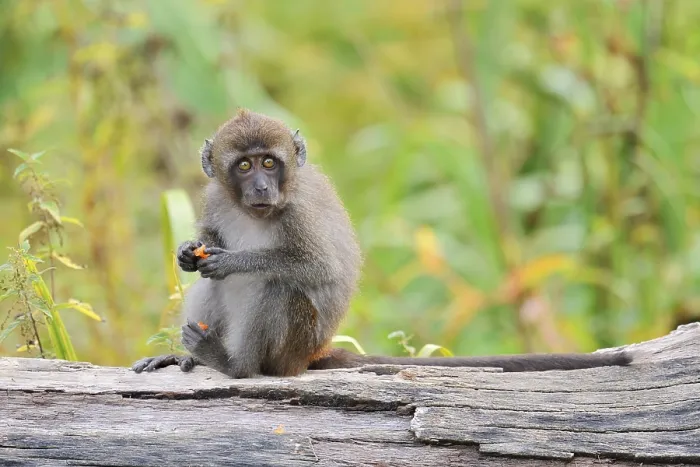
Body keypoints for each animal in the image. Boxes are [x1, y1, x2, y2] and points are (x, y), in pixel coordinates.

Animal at [131, 109, 632, 378]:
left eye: (270, 163)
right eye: (244, 165)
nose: (260, 188)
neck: (255, 210)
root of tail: (312, 353)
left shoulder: (299, 213)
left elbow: (318, 269)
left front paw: (234, 259)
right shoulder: (215, 197)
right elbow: (206, 247)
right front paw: (189, 251)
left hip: (295, 345)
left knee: (277, 287)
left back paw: (236, 365)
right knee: (211, 286)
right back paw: (190, 358)